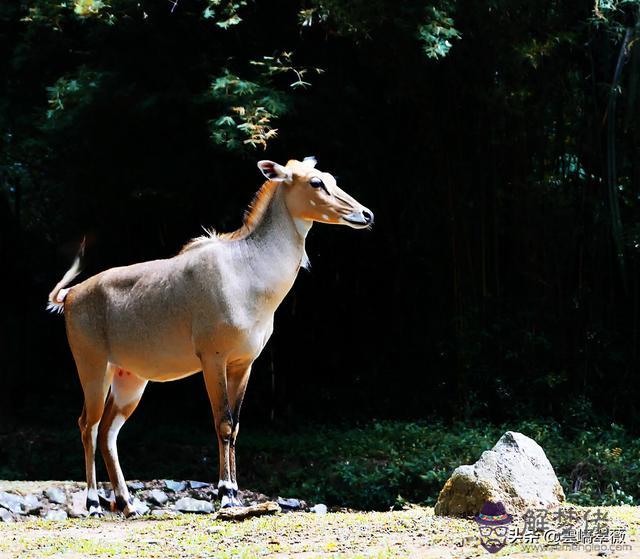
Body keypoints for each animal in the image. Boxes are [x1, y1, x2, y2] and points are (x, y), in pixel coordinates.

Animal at [48, 156, 370, 516]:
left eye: (331, 179)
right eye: (315, 182)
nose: (365, 214)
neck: (248, 270)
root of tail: (71, 295)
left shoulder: (244, 363)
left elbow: (237, 424)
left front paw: (236, 493)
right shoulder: (213, 358)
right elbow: (223, 421)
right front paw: (226, 493)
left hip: (130, 378)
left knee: (107, 431)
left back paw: (128, 504)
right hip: (93, 367)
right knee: (87, 426)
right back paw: (93, 503)